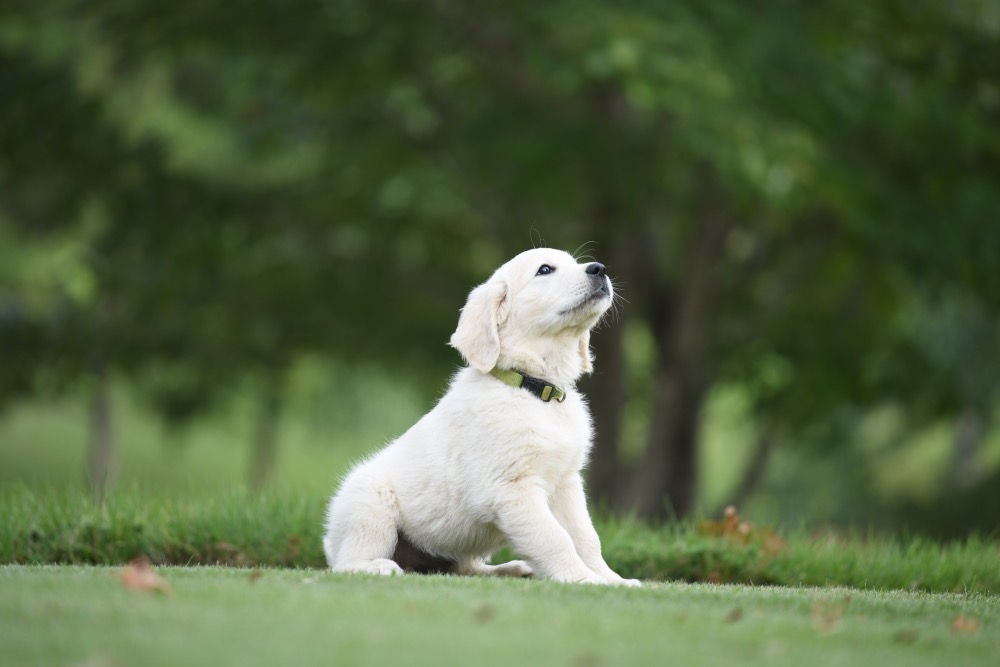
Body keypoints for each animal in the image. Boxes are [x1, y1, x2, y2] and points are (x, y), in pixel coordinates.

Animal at [326, 248, 640, 588]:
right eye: (545, 270)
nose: (599, 269)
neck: (533, 389)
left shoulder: (566, 483)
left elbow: (586, 538)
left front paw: (613, 579)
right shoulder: (511, 488)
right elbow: (555, 538)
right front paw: (583, 579)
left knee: (463, 568)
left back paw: (511, 569)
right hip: (370, 504)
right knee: (345, 563)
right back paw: (378, 567)